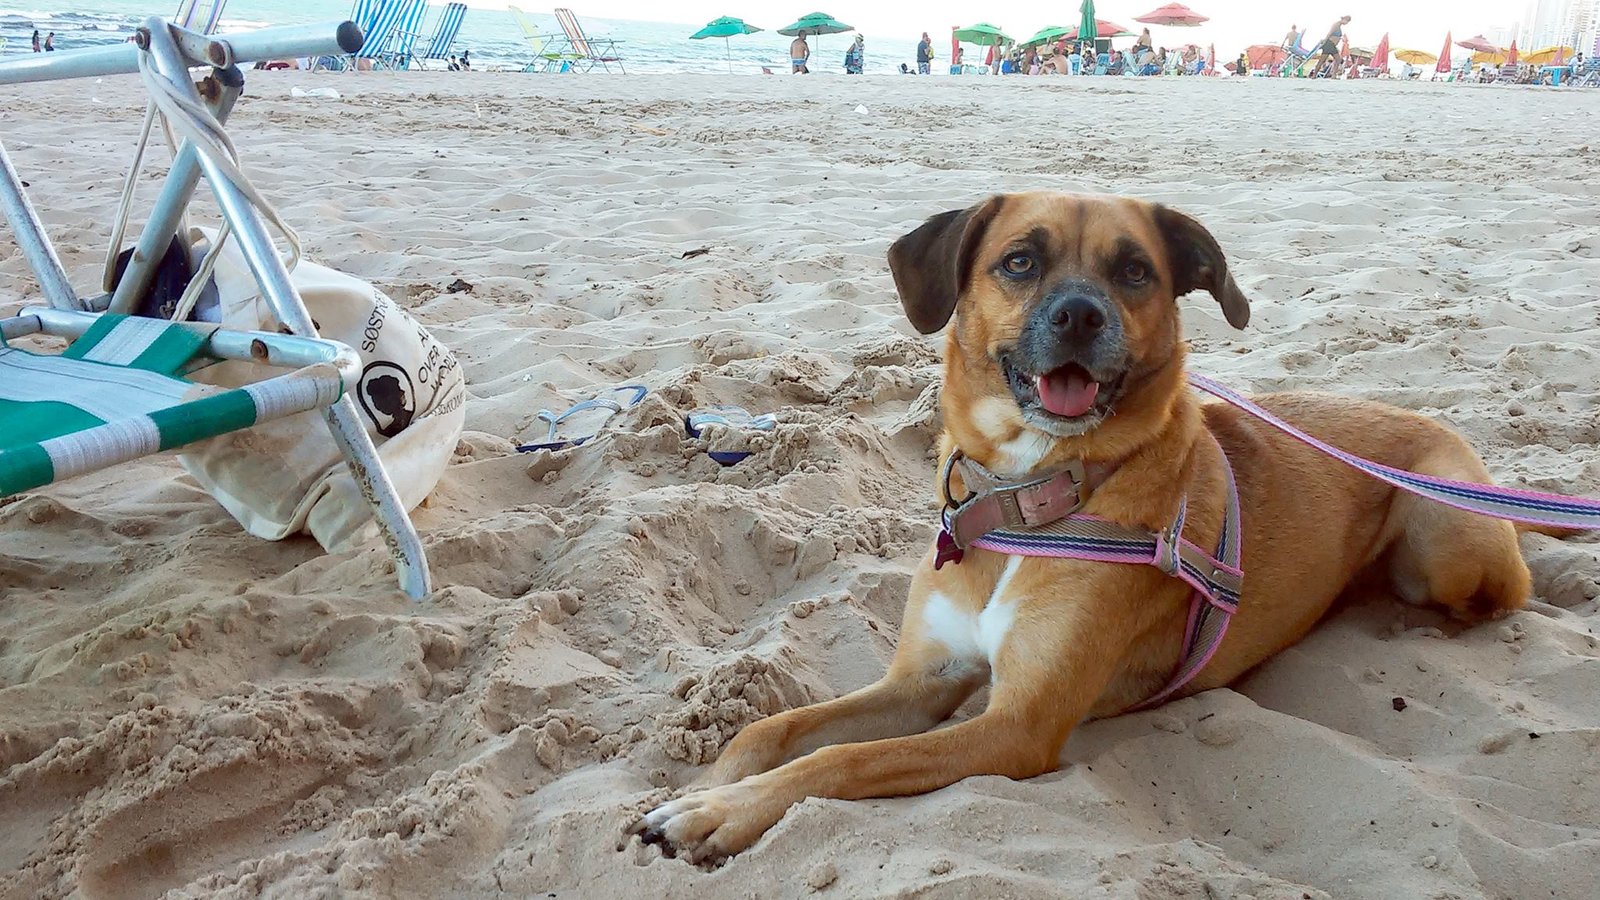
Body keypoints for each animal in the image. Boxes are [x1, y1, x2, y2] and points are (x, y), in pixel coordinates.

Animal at [624, 190, 1536, 864]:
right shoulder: (923, 681)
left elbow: (842, 761)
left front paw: (721, 813)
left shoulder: (1015, 724)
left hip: (1448, 545)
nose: (1078, 317)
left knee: (1499, 591)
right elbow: (777, 727)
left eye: (1135, 270)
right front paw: (703, 789)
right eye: (1019, 261)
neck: (1026, 496)